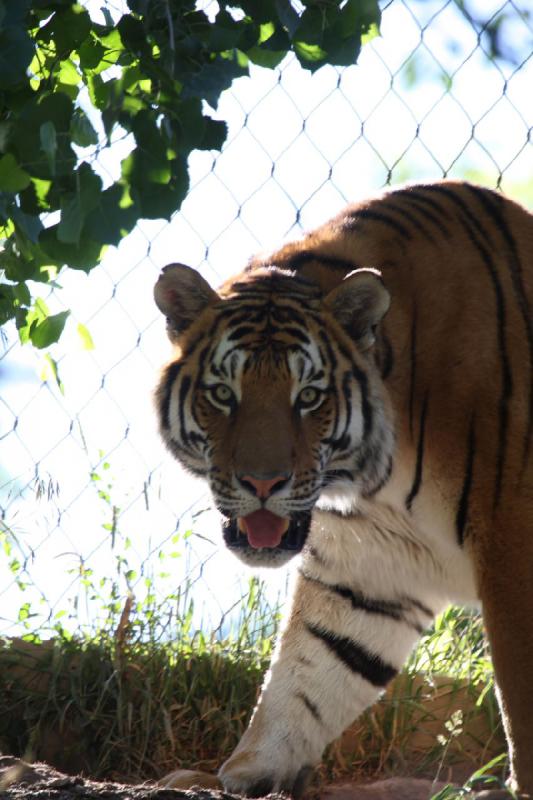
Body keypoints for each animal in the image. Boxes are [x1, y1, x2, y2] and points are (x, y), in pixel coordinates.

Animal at [152, 181, 532, 800]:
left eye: (308, 396)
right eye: (223, 393)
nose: (262, 483)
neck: (381, 474)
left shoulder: (513, 547)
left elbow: (521, 705)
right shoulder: (369, 565)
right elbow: (309, 672)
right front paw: (241, 774)